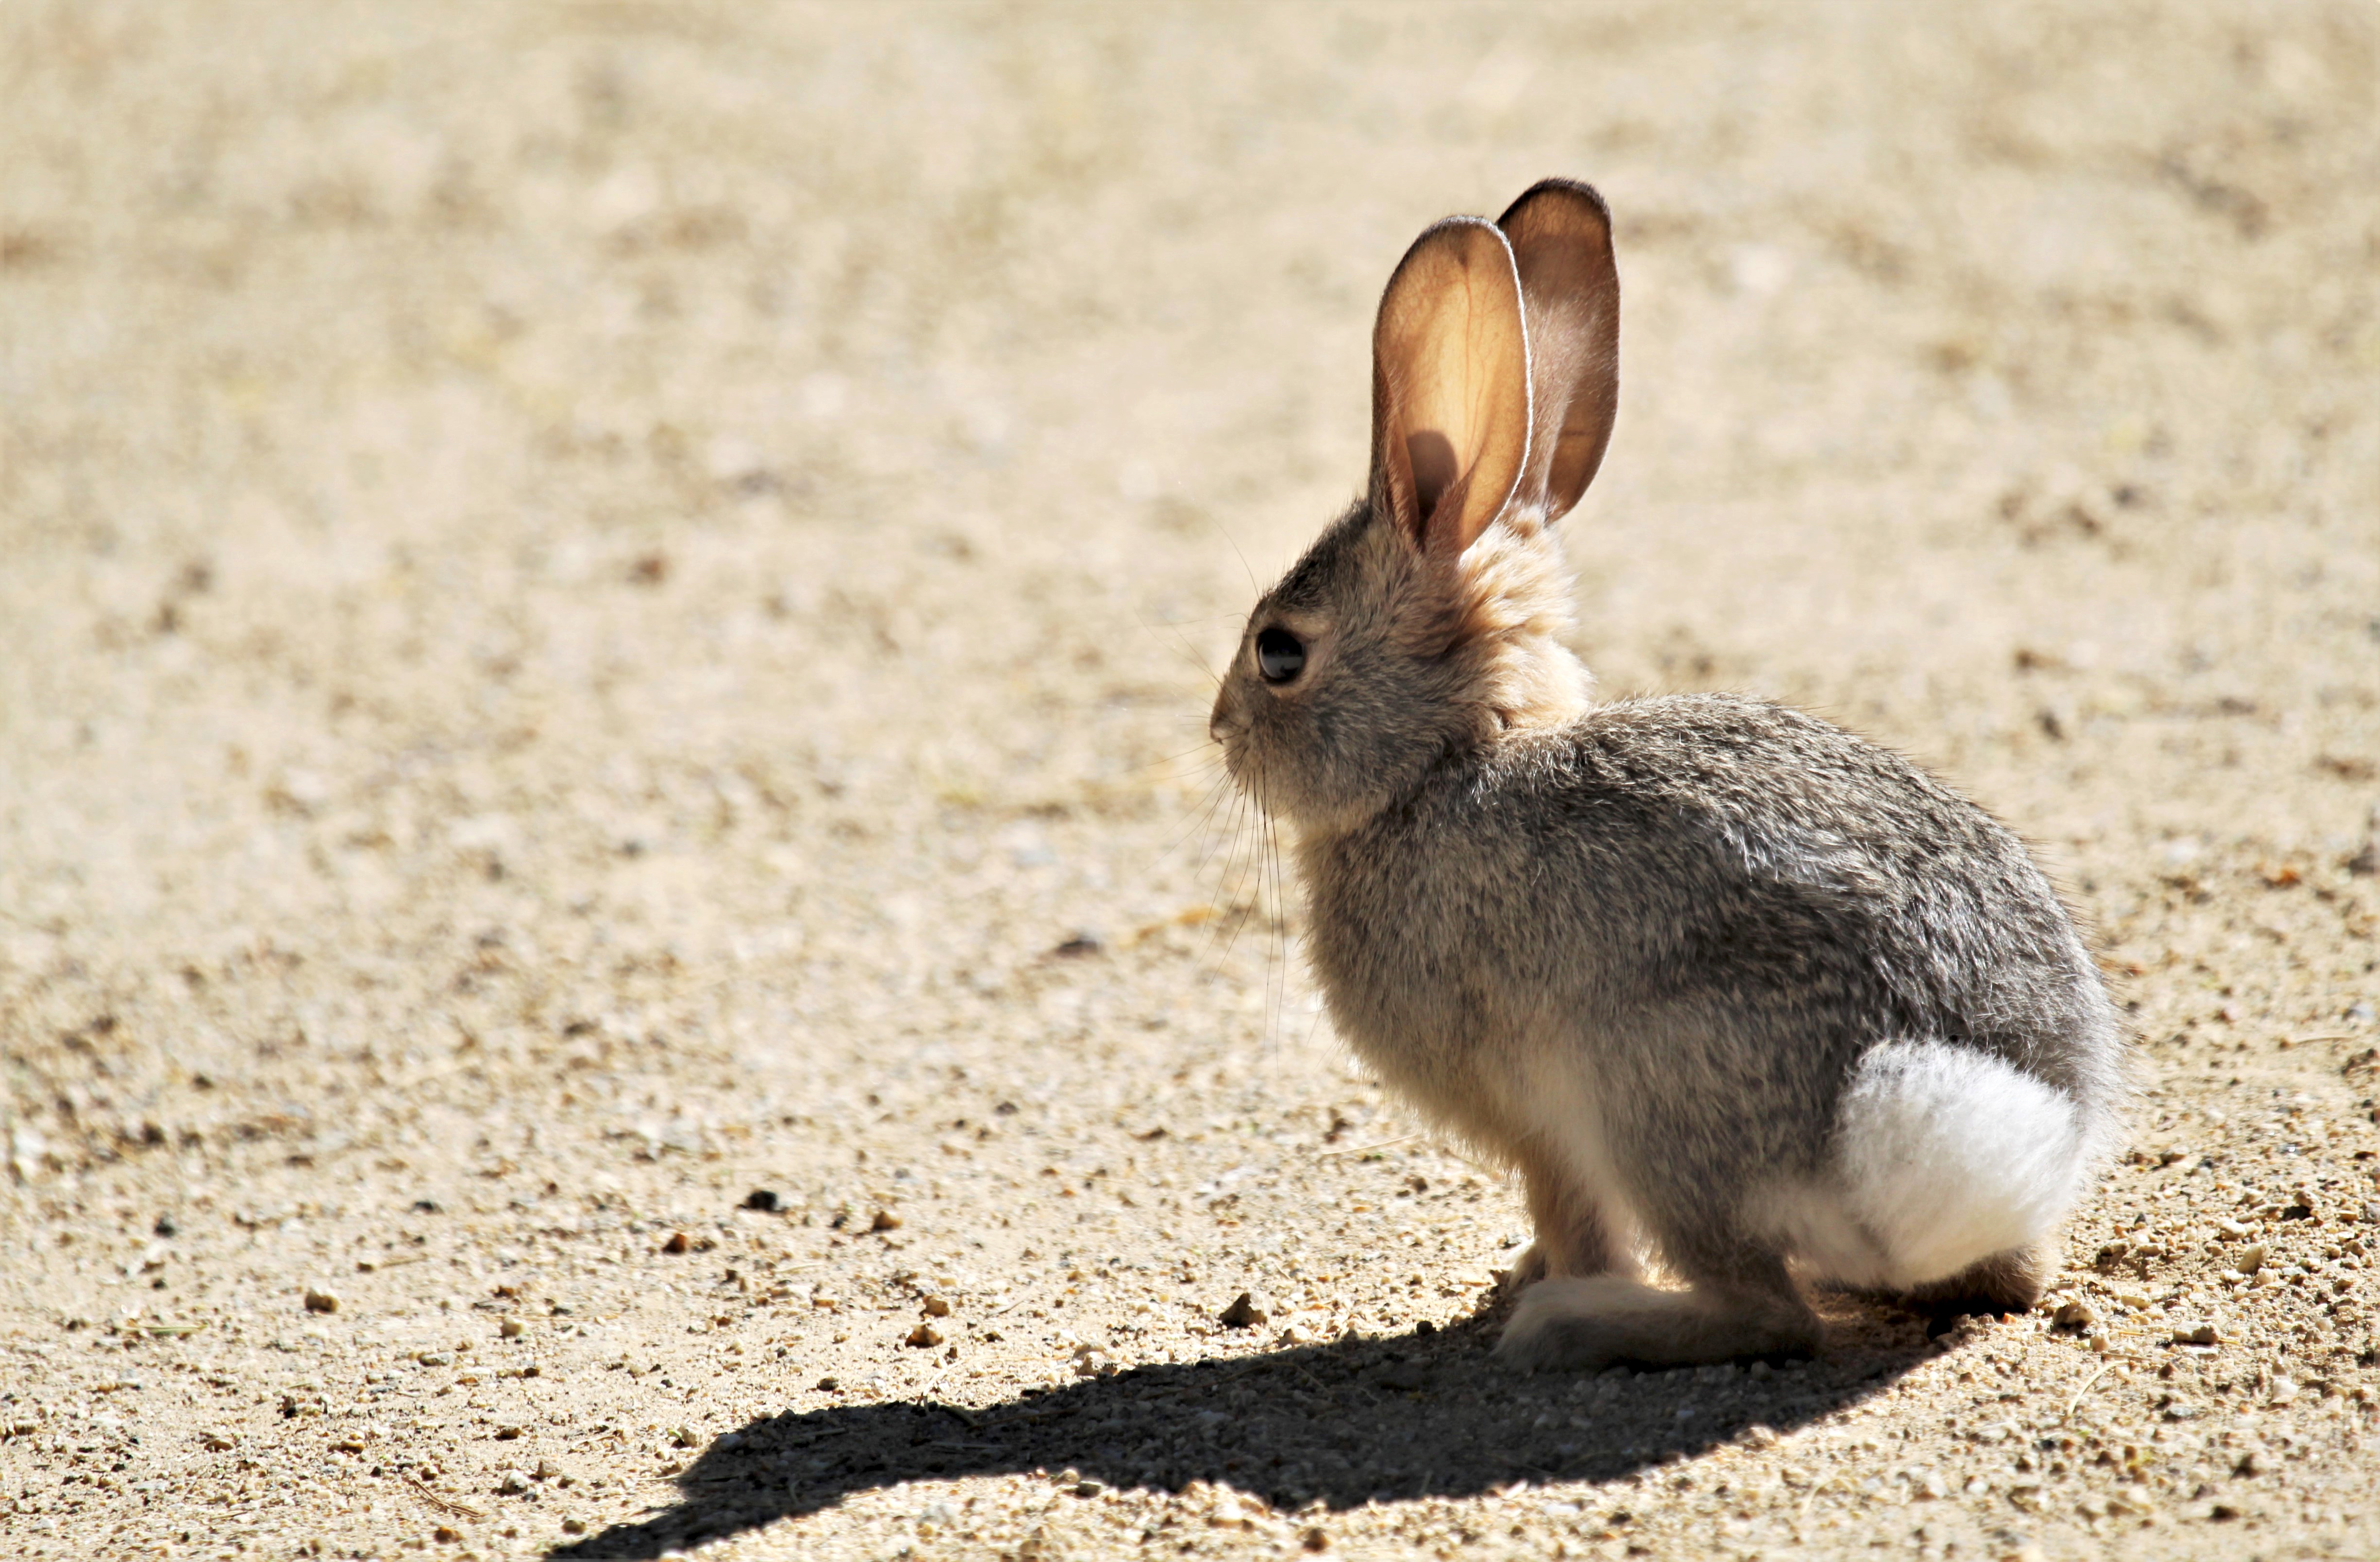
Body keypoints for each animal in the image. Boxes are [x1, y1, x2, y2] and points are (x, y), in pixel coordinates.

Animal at [1209, 177, 2123, 1371]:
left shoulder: (1538, 1120)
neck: (1446, 763)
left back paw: (1574, 1323)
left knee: (1766, 1313)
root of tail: (1989, 1147)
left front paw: (1532, 1289)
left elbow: (1571, 1214)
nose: (1218, 730)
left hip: (1655, 1096)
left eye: (1279, 652)